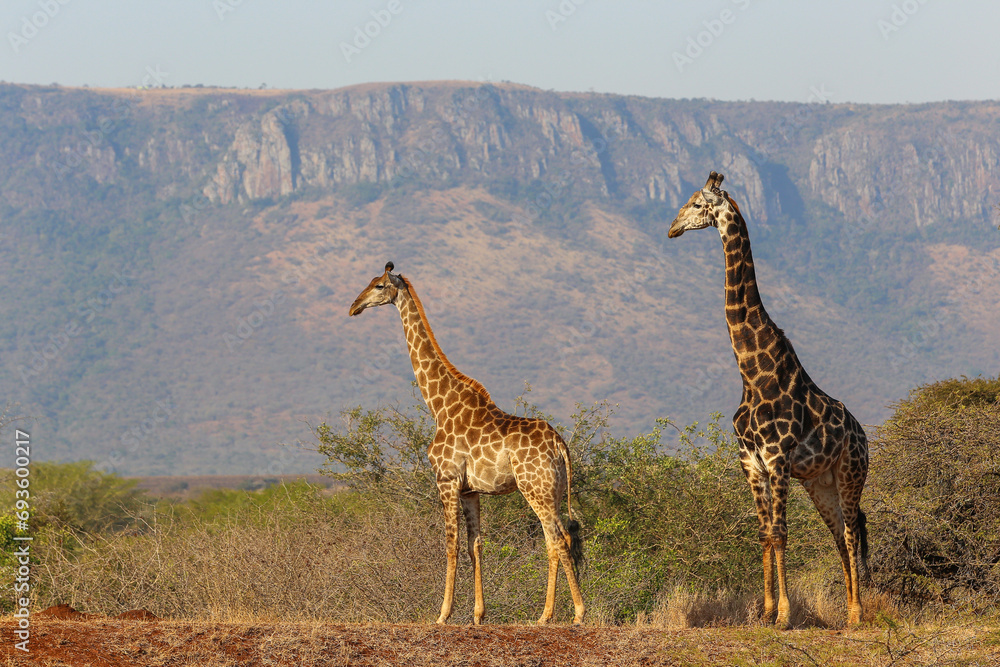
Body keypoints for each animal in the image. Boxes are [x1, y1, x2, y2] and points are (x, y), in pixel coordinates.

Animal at [349, 262, 586, 626]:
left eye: (378, 286)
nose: (354, 306)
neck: (439, 404)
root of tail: (561, 446)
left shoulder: (445, 480)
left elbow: (452, 544)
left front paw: (443, 614)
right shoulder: (470, 489)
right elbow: (476, 544)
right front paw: (477, 614)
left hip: (535, 488)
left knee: (558, 539)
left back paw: (576, 613)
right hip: (554, 490)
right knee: (555, 539)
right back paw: (545, 615)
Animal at [667, 172, 869, 629]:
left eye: (696, 204)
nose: (671, 228)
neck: (751, 372)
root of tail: (864, 436)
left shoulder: (777, 458)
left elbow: (780, 533)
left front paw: (783, 615)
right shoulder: (750, 461)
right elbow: (763, 533)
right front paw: (764, 610)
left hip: (851, 472)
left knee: (852, 531)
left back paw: (856, 614)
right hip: (819, 482)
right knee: (838, 535)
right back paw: (850, 608)